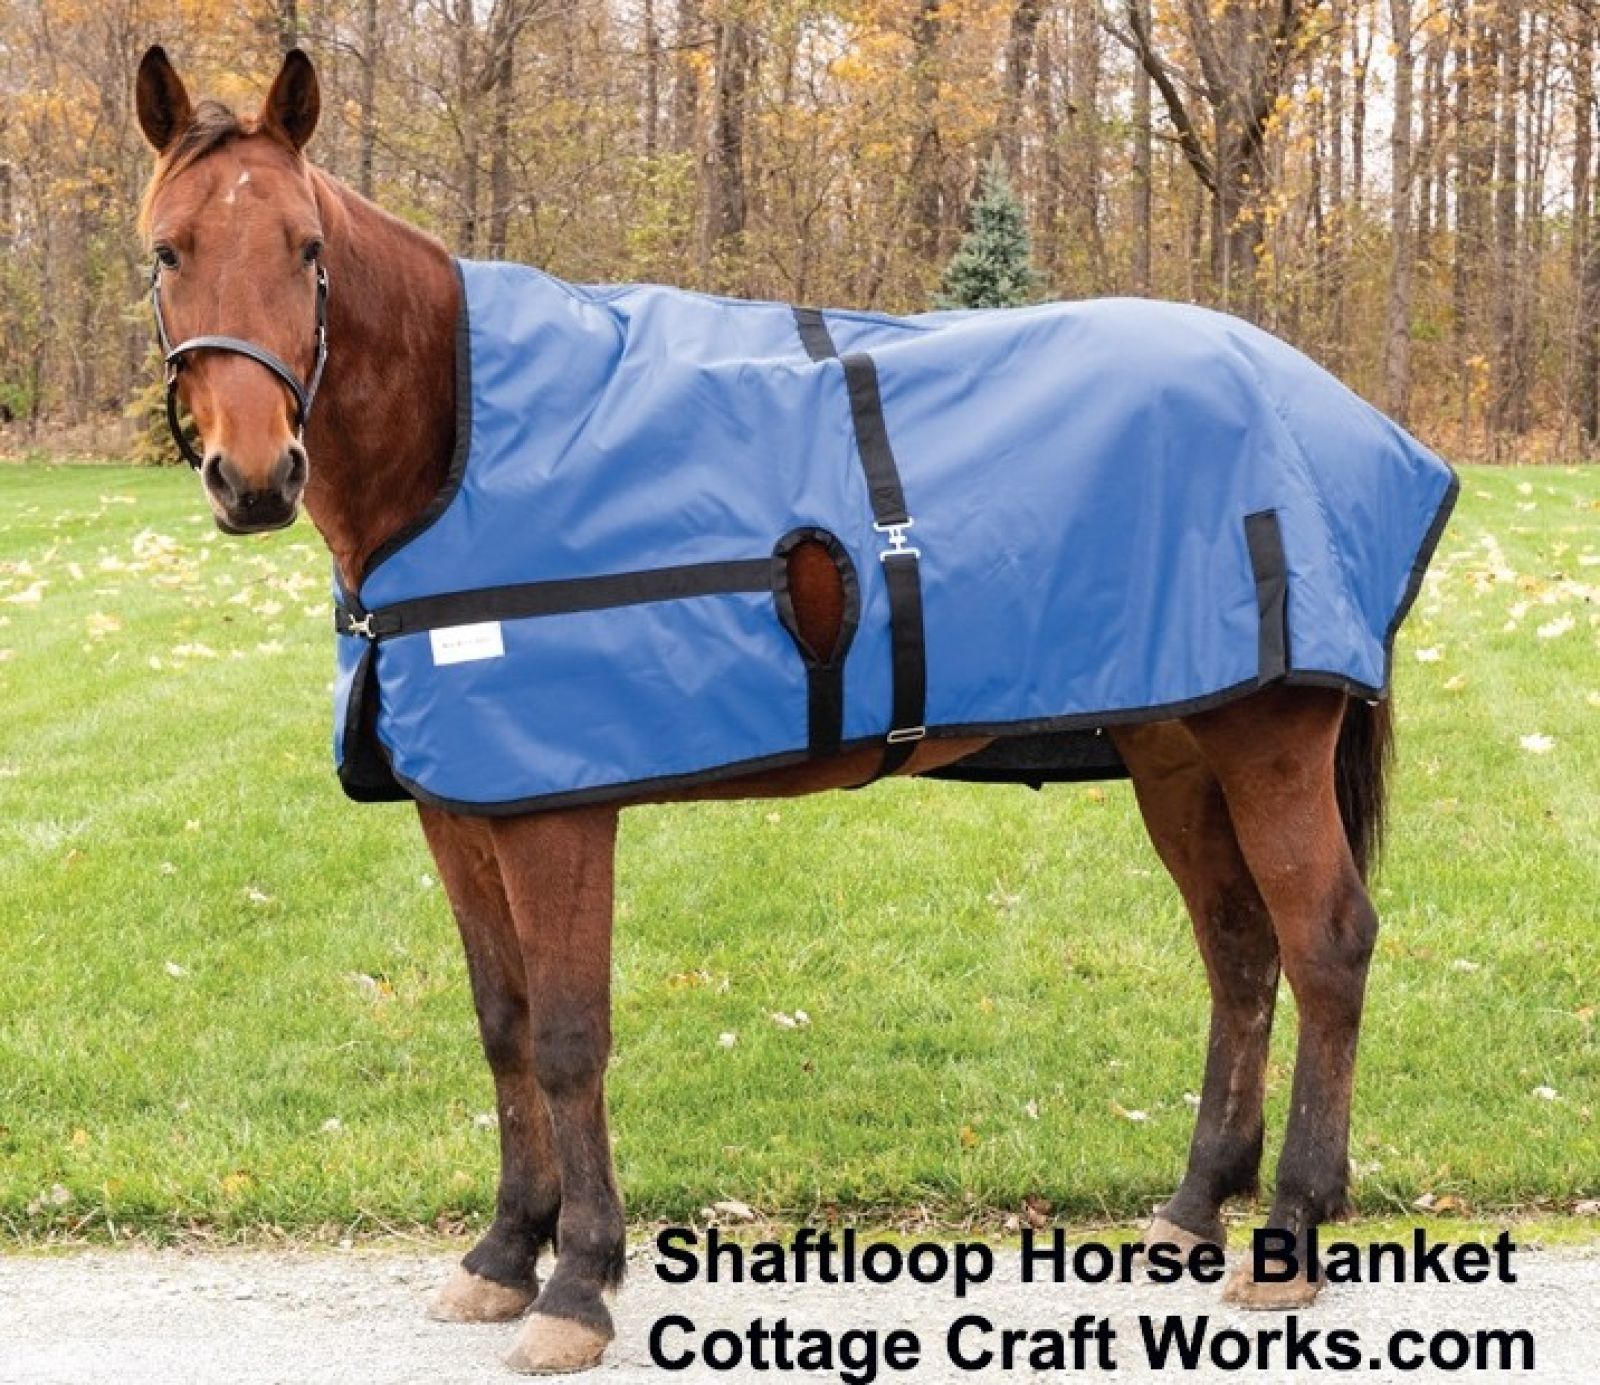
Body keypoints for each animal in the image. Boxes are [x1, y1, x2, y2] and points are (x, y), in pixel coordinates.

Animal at [134, 45, 1446, 1375]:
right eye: (165, 250)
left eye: (305, 247)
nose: (254, 477)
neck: (458, 442)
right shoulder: (458, 807)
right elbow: (503, 1023)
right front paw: (503, 1252)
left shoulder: (559, 812)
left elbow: (567, 1034)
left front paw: (580, 1280)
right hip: (1177, 743)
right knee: (1237, 949)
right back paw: (1191, 1208)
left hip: (1268, 740)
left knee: (1325, 944)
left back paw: (1289, 1229)